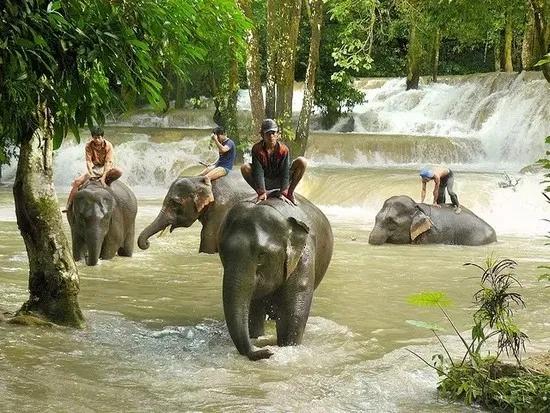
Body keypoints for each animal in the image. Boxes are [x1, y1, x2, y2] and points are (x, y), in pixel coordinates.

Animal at [221, 195, 336, 358]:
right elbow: (254, 309)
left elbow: (293, 308)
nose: (267, 351)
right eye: (222, 252)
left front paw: (287, 347)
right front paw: (256, 338)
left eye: (261, 254)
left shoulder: (304, 254)